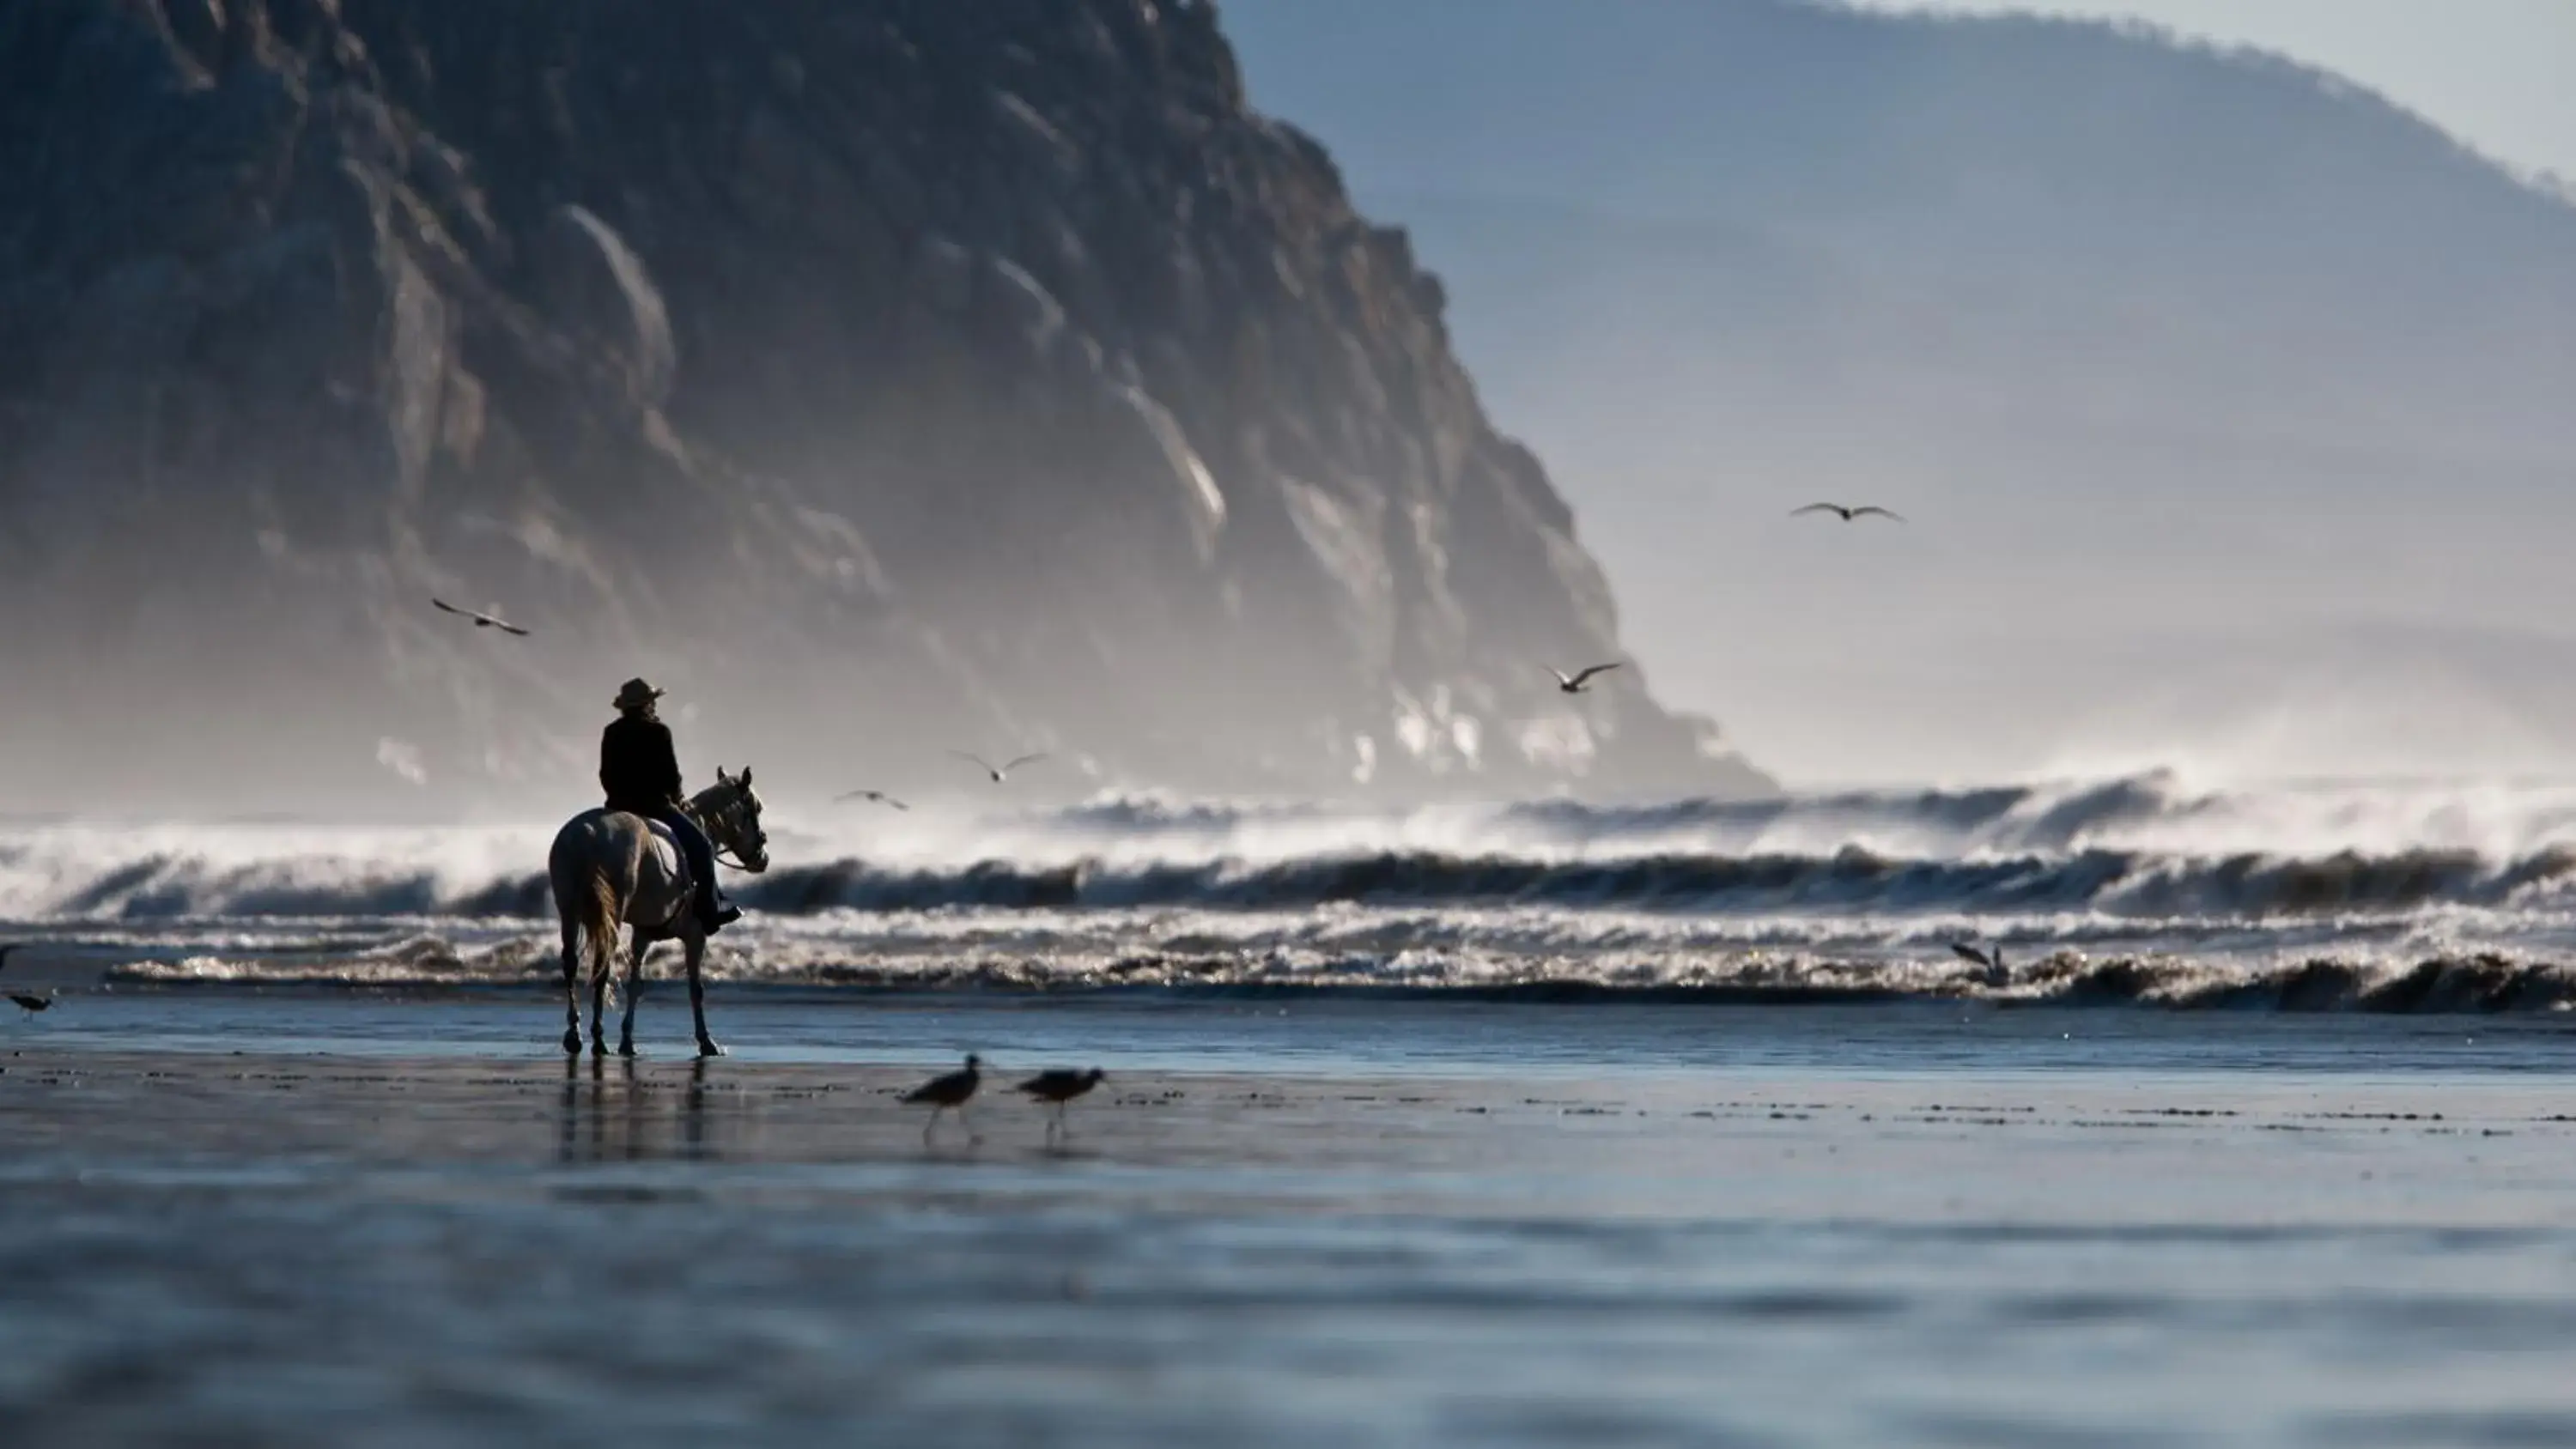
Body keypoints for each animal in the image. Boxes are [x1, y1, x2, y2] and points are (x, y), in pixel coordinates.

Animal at [549, 772, 768, 1065]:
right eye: (756, 809)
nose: (762, 858)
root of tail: (587, 834)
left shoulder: (643, 935)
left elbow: (635, 984)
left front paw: (628, 1041)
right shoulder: (696, 935)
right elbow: (696, 988)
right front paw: (706, 1042)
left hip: (569, 910)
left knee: (571, 964)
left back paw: (575, 1034)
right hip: (612, 913)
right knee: (602, 966)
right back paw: (598, 1039)